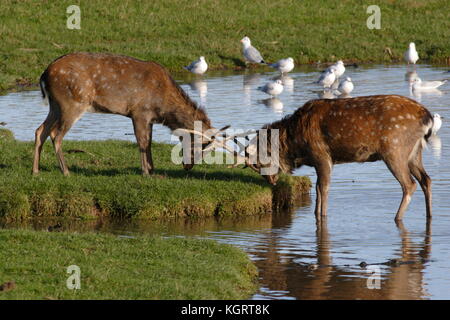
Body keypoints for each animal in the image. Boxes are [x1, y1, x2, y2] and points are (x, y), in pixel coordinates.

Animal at [32, 53, 229, 176]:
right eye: (201, 145)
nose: (188, 166)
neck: (163, 106)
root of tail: (44, 75)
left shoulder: (149, 117)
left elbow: (149, 141)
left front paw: (152, 169)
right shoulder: (139, 112)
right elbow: (142, 142)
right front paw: (145, 172)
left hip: (55, 105)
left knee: (40, 130)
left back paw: (36, 170)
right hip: (72, 102)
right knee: (55, 134)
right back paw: (66, 171)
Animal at [232, 94, 432, 221]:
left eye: (259, 161)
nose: (271, 180)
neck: (297, 143)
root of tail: (428, 118)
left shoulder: (321, 154)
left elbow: (324, 187)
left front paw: (322, 216)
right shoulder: (322, 160)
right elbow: (318, 187)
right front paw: (315, 213)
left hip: (394, 149)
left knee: (409, 184)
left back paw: (397, 218)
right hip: (414, 152)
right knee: (426, 179)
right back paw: (429, 215)